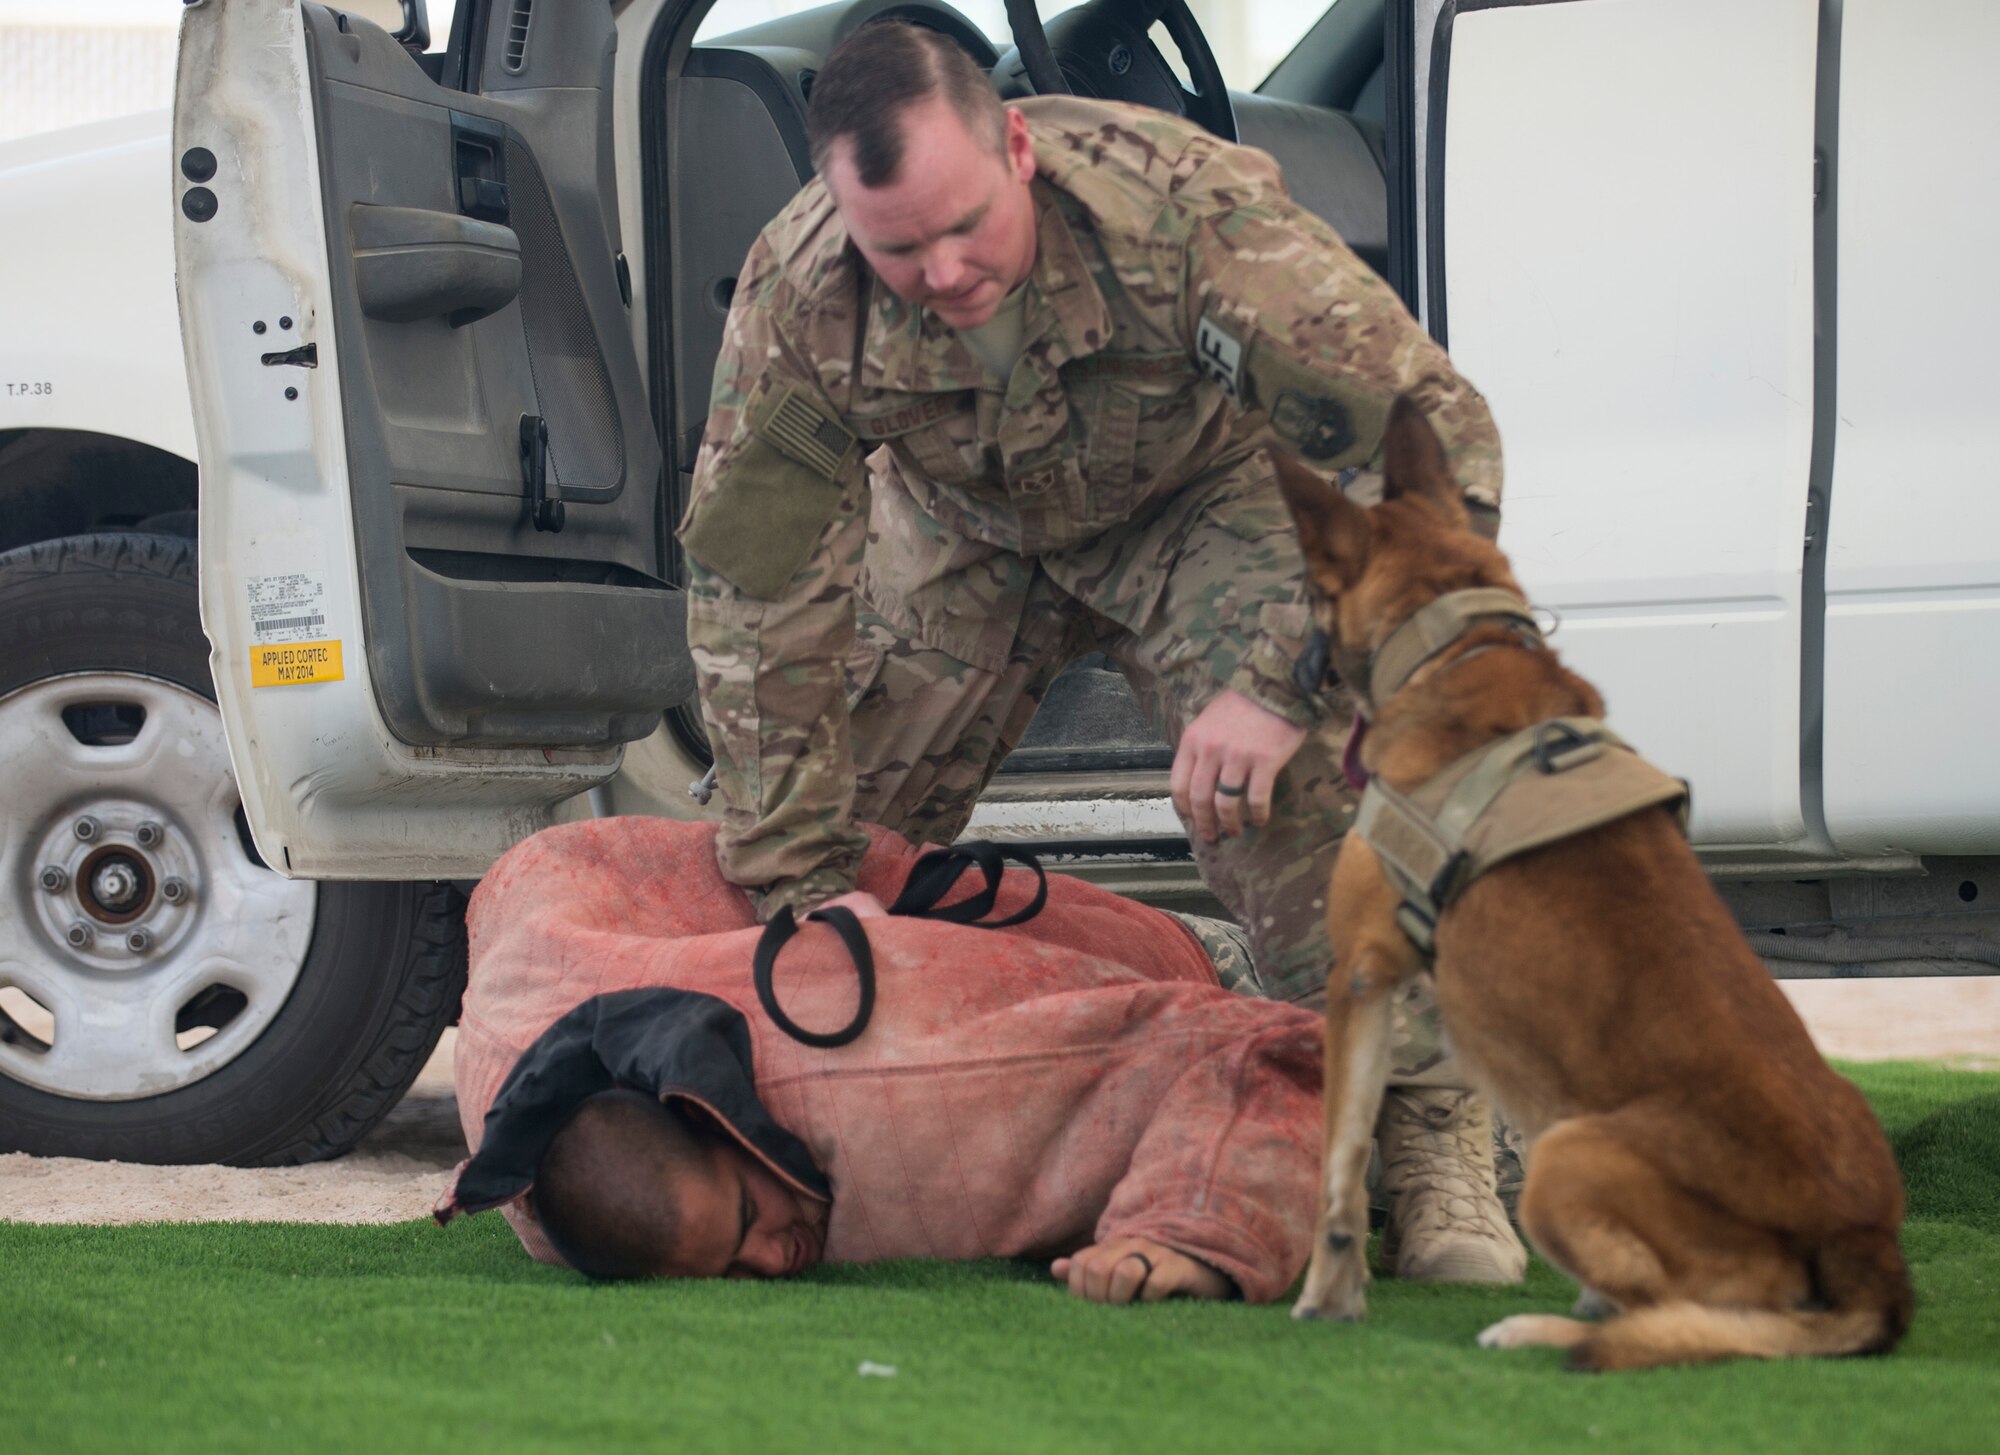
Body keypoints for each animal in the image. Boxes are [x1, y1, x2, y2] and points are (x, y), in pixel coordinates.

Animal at [1272, 403, 1912, 1367]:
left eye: (1311, 586)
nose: (1284, 670)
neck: (1459, 649)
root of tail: (1868, 1246)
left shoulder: (1362, 975)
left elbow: (1338, 1169)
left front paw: (1327, 1298)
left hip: (1564, 1153)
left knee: (1691, 1317)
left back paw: (1547, 1327)